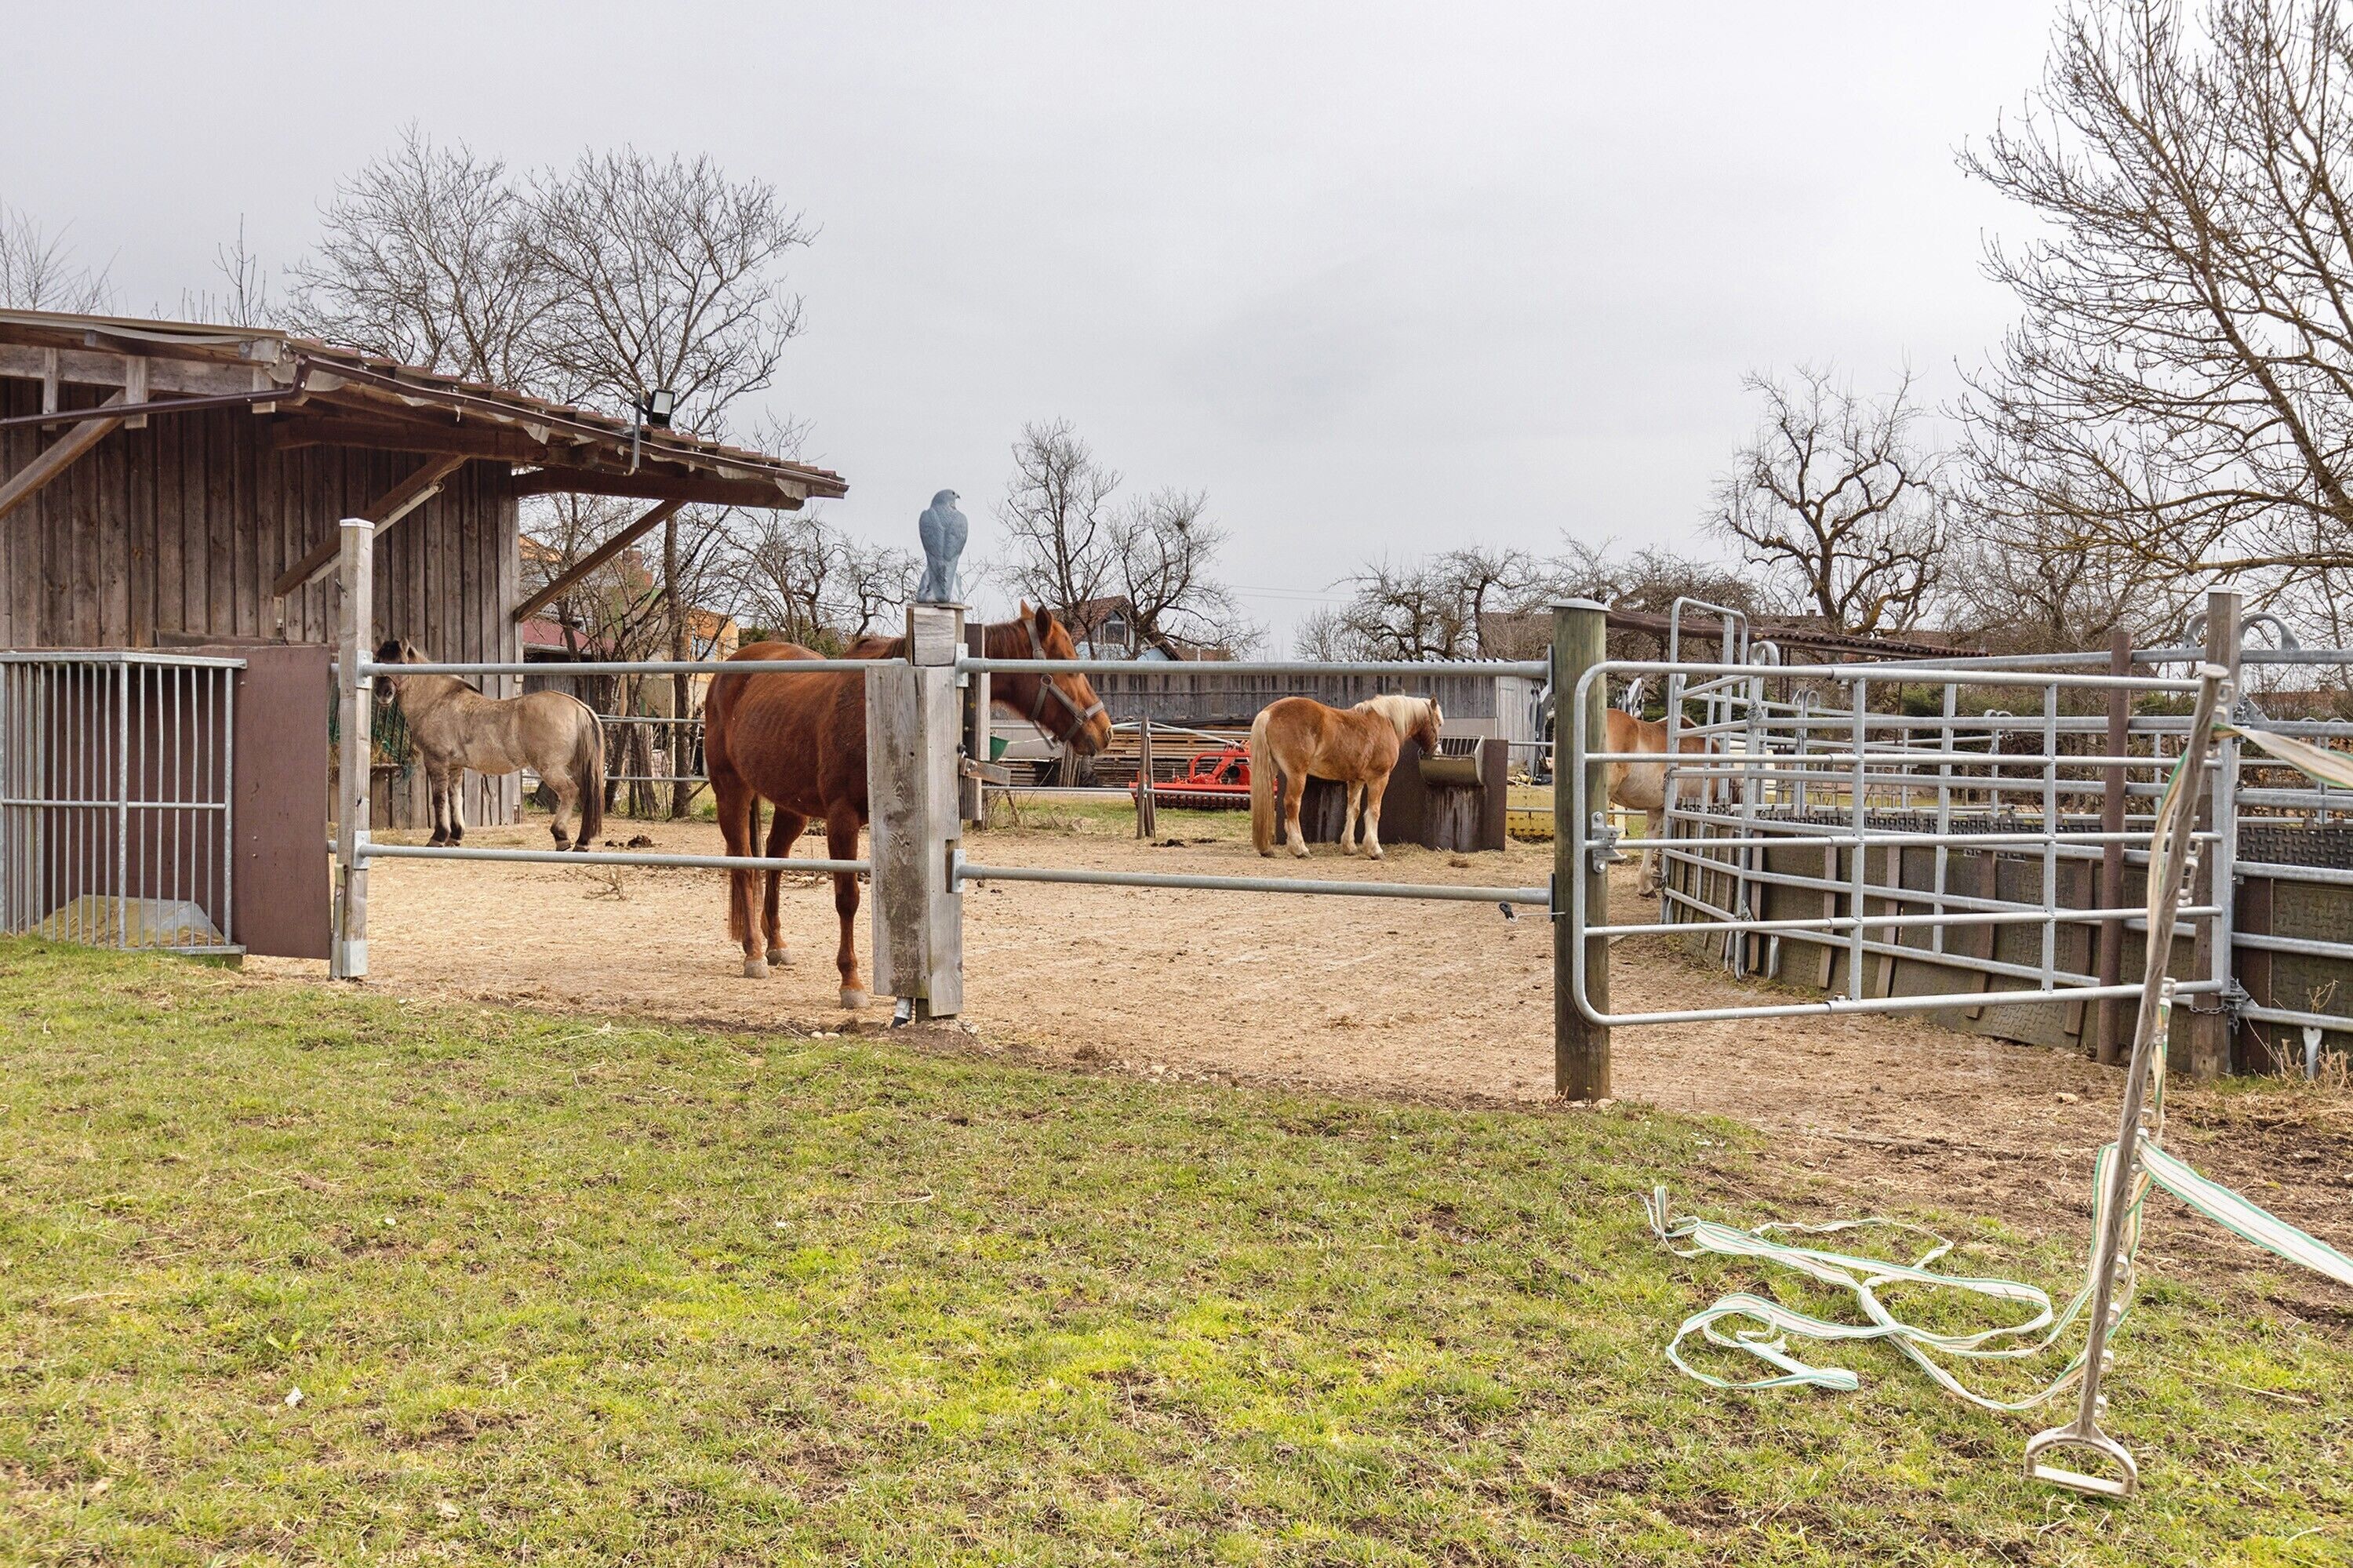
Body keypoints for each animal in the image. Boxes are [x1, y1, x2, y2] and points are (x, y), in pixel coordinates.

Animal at [373, 639, 606, 852]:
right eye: (377, 661)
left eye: (401, 663)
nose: (383, 693)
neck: (437, 701)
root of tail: (579, 707)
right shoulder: (455, 767)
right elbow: (455, 797)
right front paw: (455, 836)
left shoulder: (436, 762)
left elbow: (440, 799)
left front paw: (438, 837)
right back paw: (582, 841)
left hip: (551, 769)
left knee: (570, 792)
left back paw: (562, 837)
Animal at [702, 602, 1111, 1007]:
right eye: (1067, 662)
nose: (1104, 731)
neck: (876, 709)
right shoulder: (841, 818)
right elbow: (847, 899)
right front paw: (851, 982)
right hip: (732, 792)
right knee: (743, 865)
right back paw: (754, 953)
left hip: (792, 805)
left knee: (773, 859)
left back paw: (776, 944)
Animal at [1249, 694, 1443, 860]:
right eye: (1439, 723)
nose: (1438, 753)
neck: (1386, 722)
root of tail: (1269, 713)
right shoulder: (1379, 779)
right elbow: (1374, 811)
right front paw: (1375, 850)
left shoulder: (1357, 780)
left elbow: (1353, 811)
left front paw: (1349, 847)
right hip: (1297, 774)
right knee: (1292, 804)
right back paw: (1300, 849)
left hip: (1271, 770)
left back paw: (1267, 849)